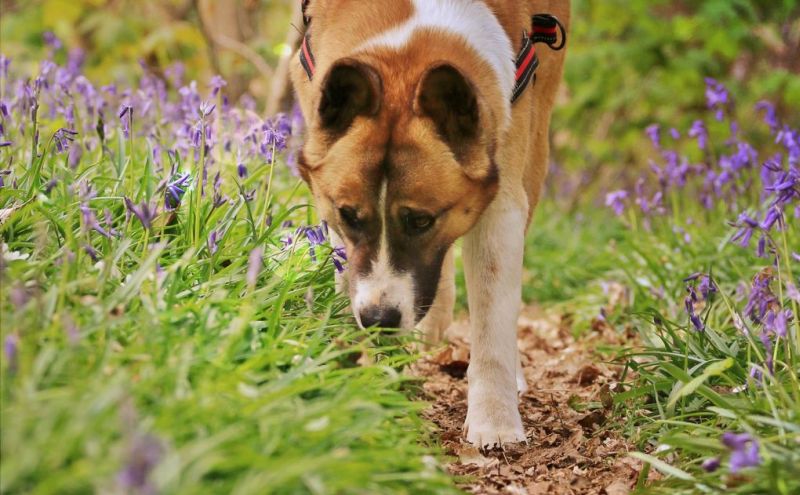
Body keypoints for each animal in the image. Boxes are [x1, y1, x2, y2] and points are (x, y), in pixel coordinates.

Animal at [290, 0, 572, 450]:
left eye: (421, 220)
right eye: (349, 215)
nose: (378, 319)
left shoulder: (501, 199)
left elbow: (493, 319)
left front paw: (494, 419)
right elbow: (346, 273)